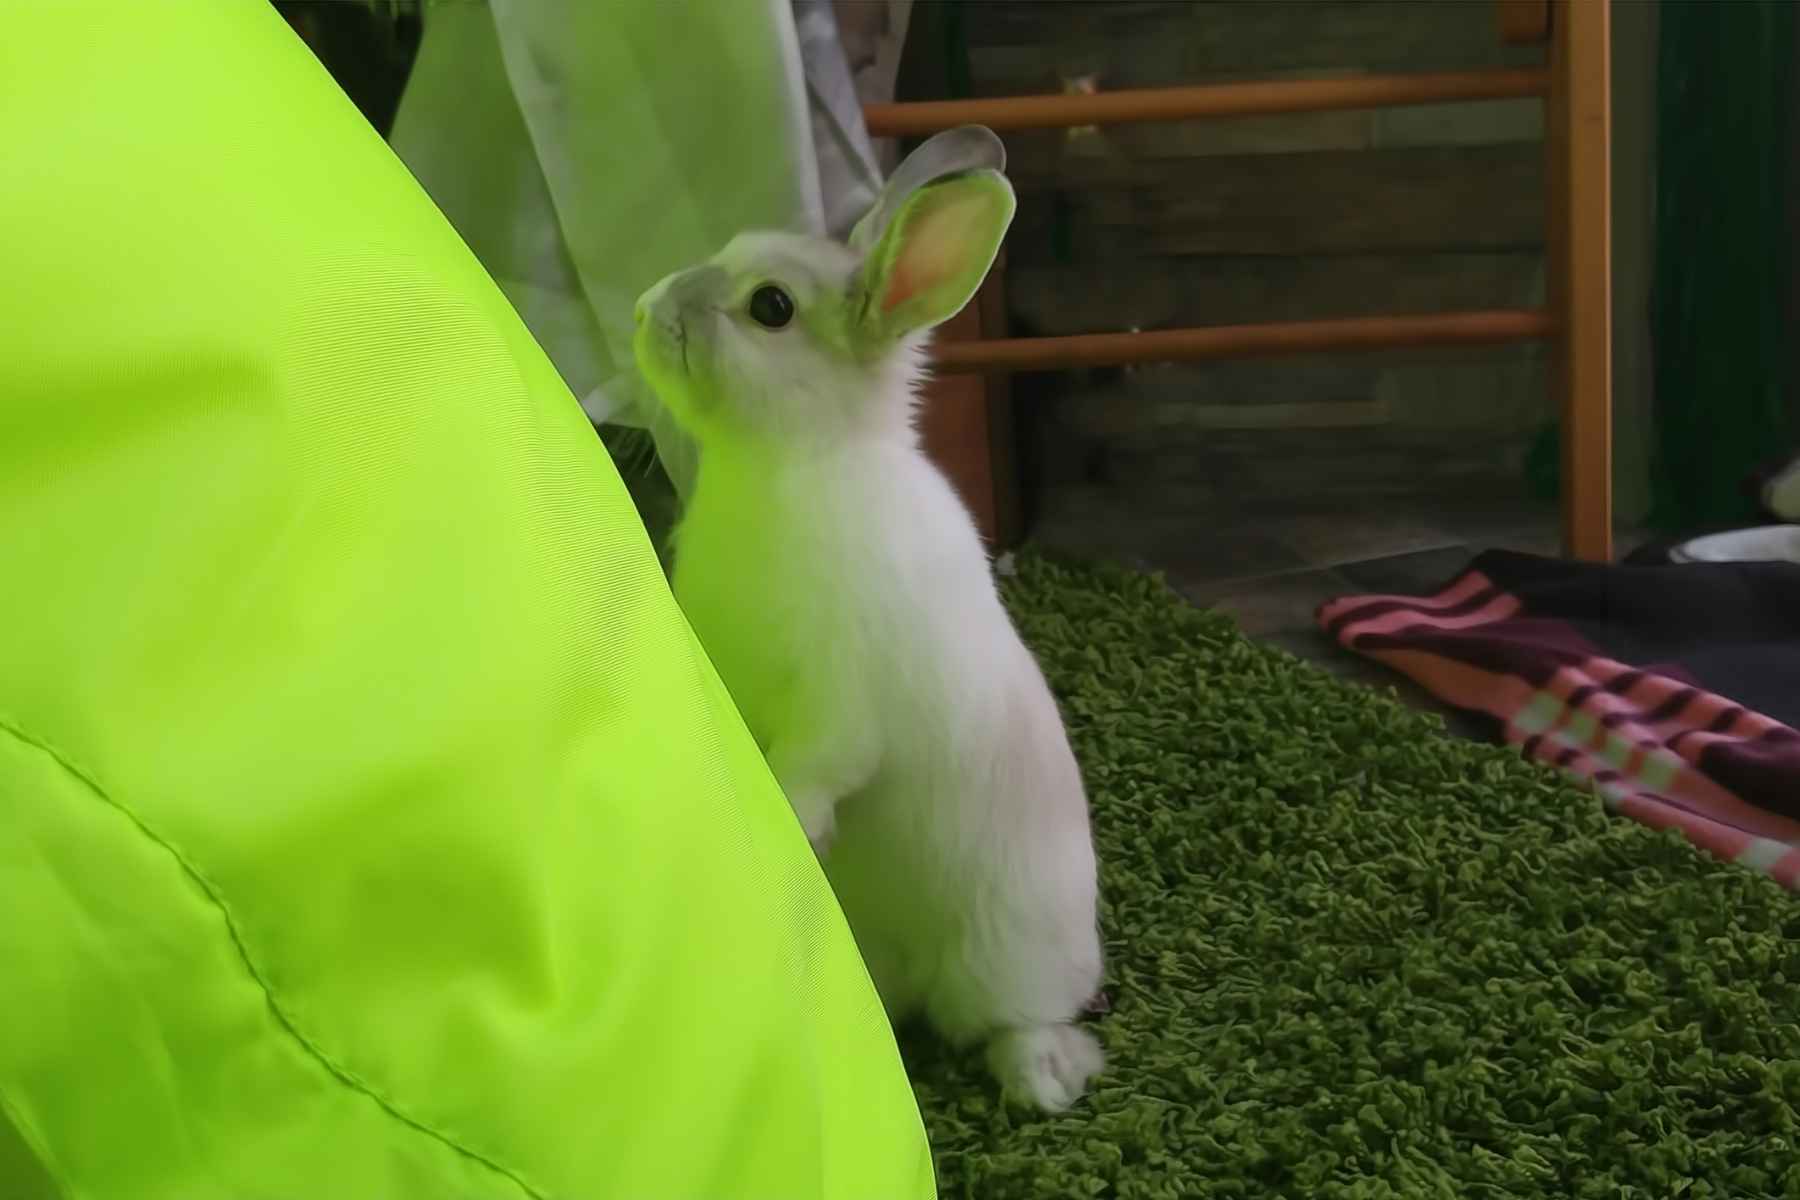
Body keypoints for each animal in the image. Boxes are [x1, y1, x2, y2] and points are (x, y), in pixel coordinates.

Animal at [633, 126, 1108, 1115]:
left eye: (771, 307)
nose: (645, 307)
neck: (788, 462)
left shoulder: (841, 702)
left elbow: (821, 766)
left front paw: (791, 818)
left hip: (1010, 958)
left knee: (1018, 1023)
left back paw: (1042, 1078)